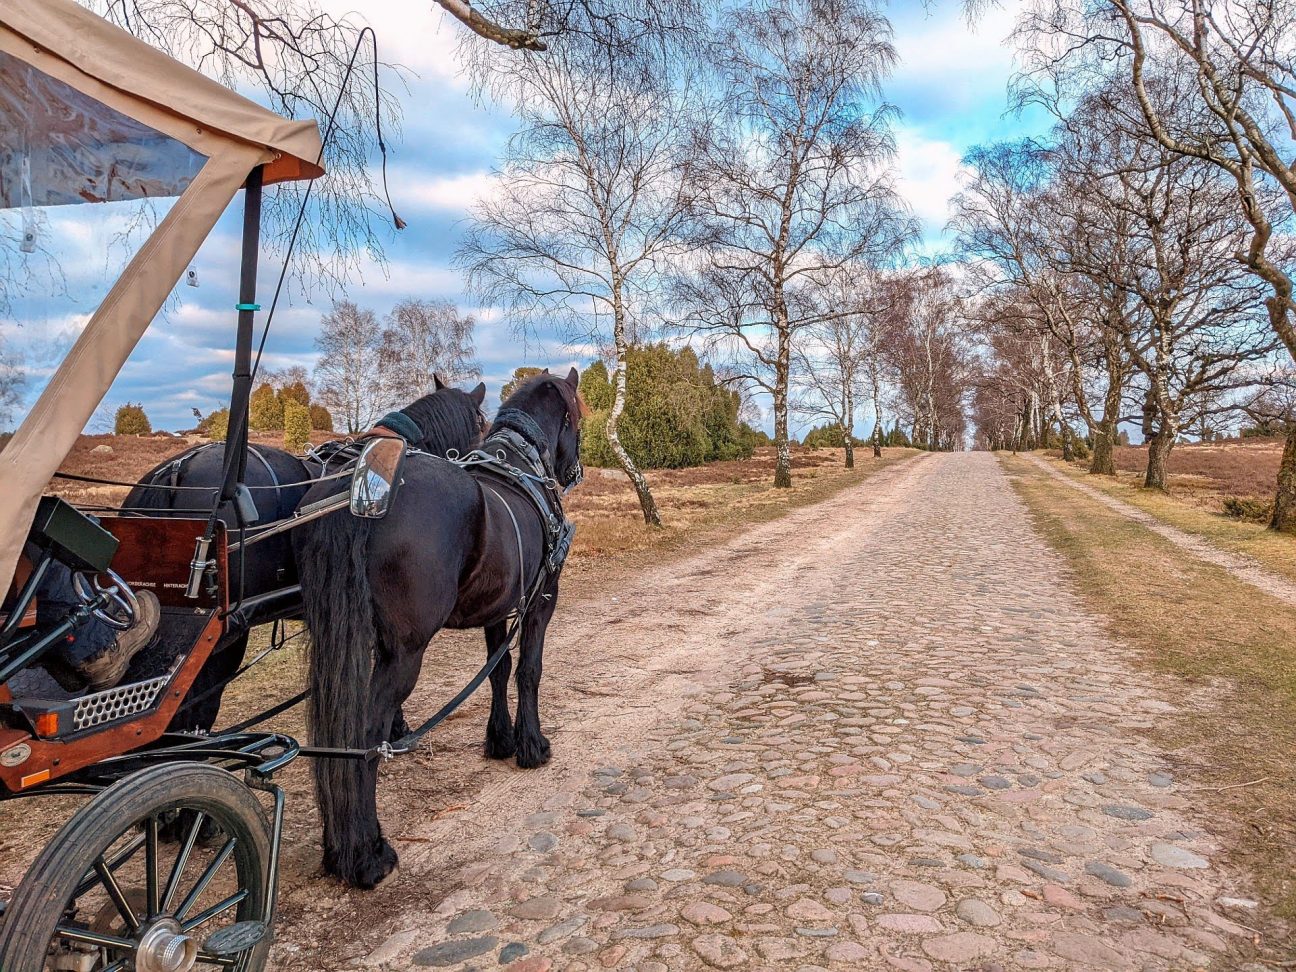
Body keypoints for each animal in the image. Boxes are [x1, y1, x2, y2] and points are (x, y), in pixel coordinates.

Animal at [296, 368, 585, 886]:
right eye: (577, 416)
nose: (574, 471)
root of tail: (359, 493)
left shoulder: (498, 606)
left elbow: (497, 670)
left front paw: (500, 740)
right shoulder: (541, 600)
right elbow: (528, 671)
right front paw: (531, 745)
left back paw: (337, 850)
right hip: (404, 654)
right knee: (364, 737)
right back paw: (367, 853)